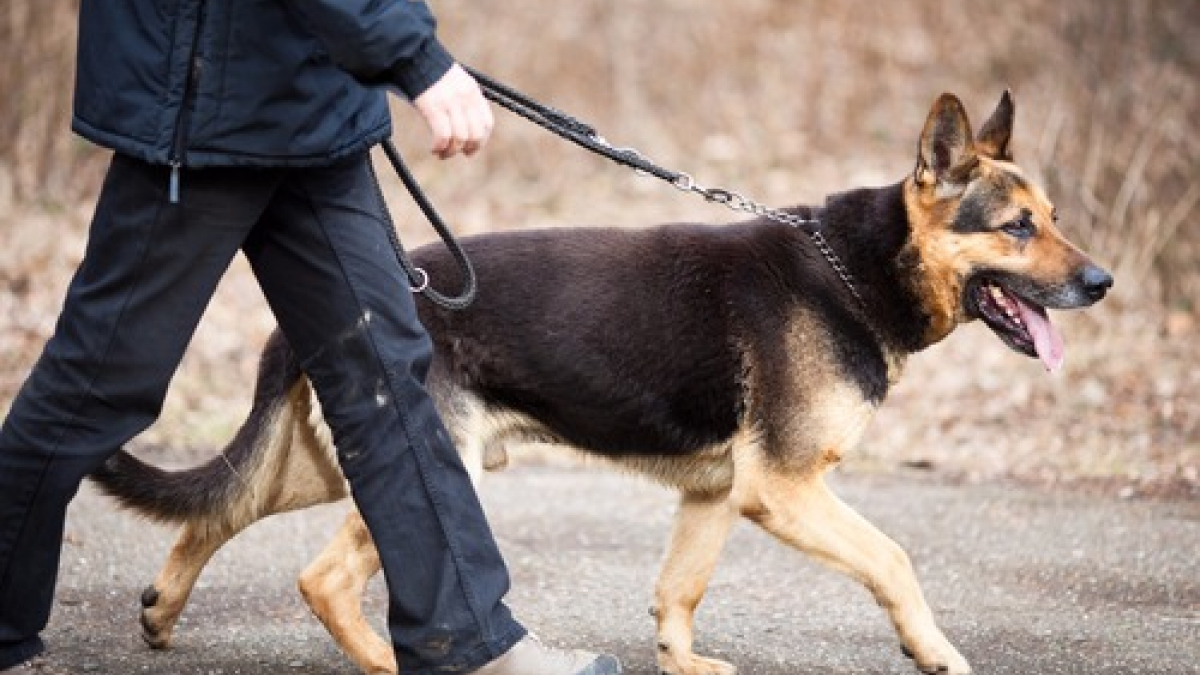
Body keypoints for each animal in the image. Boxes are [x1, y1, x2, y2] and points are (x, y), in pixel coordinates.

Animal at [93, 93, 1113, 672]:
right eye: (1017, 227)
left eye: (1057, 217)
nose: (1103, 283)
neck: (855, 270)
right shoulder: (783, 489)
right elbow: (896, 561)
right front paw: (936, 652)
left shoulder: (719, 492)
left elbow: (679, 593)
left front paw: (683, 664)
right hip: (434, 465)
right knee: (320, 576)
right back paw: (387, 661)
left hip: (333, 458)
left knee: (217, 511)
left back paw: (162, 611)